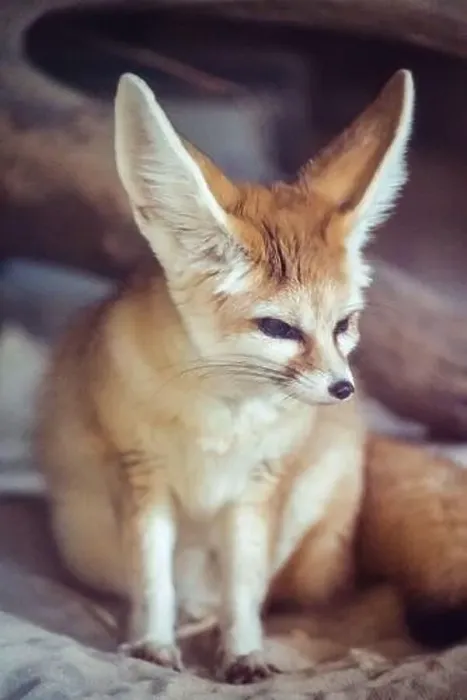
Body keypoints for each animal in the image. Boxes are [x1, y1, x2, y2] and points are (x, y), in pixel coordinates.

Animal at [35, 68, 467, 685]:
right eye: (277, 328)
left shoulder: (255, 491)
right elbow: (154, 580)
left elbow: (243, 589)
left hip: (310, 544)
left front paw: (244, 653)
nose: (343, 389)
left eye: (344, 324)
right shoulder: (143, 479)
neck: (222, 419)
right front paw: (154, 644)